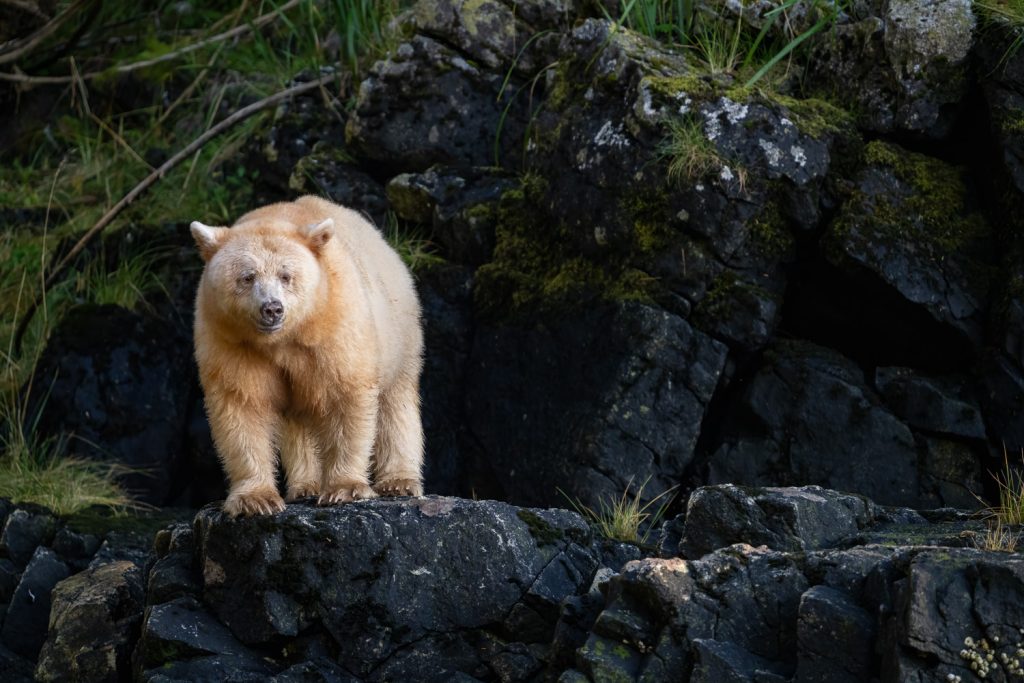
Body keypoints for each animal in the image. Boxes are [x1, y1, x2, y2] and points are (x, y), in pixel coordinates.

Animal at [190, 195, 424, 517]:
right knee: (297, 421)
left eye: (286, 275)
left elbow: (345, 395)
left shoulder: (334, 323)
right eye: (247, 277)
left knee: (396, 403)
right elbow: (242, 404)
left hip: (399, 330)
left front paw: (344, 489)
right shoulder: (231, 339)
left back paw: (399, 481)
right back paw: (305, 486)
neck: (282, 339)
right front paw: (256, 499)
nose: (272, 308)